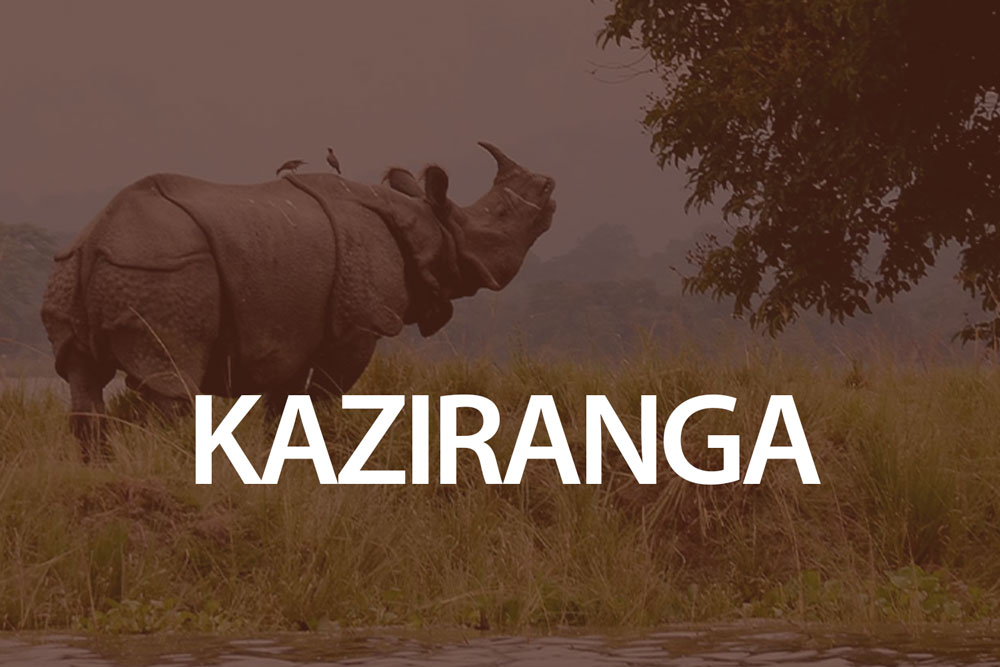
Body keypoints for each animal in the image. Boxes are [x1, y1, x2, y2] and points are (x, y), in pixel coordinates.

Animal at [41, 142, 555, 460]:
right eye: (501, 219)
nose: (551, 191)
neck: (423, 219)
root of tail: (98, 236)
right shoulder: (357, 325)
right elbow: (321, 398)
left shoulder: (292, 329)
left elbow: (281, 408)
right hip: (162, 269)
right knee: (172, 381)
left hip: (73, 267)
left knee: (81, 375)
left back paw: (100, 468)